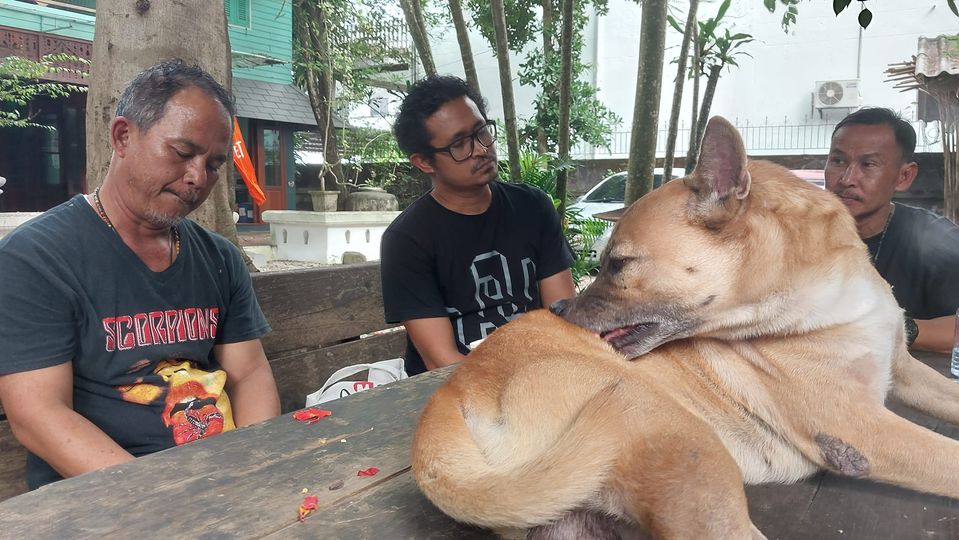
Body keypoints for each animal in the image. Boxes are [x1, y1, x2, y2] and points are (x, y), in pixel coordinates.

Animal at [411, 117, 959, 539]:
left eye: (618, 264)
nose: (560, 308)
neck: (827, 293)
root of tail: (445, 406)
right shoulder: (858, 430)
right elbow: (950, 459)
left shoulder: (905, 370)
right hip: (690, 452)